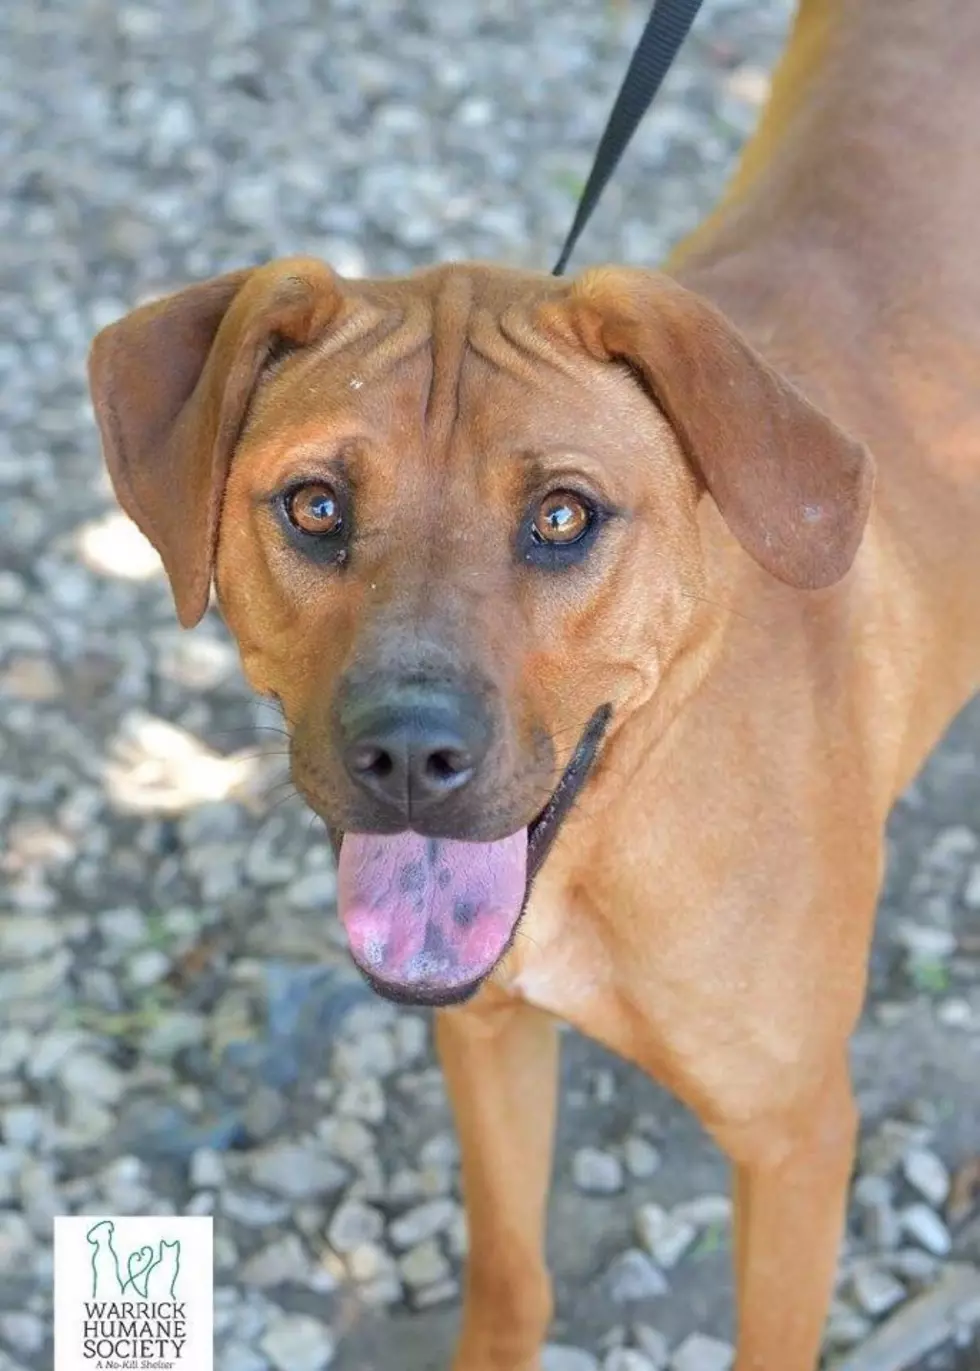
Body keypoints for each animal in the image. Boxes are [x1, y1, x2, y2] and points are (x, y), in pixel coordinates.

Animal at [86, 0, 980, 1365]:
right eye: (314, 505)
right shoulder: (484, 1030)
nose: (407, 758)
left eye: (561, 517)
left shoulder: (793, 1140)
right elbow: (511, 1277)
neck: (605, 840)